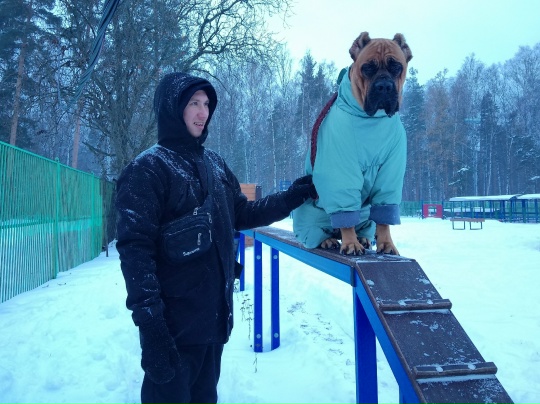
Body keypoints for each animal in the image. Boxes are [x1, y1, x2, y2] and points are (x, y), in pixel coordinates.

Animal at [293, 32, 412, 256]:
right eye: (368, 68)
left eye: (396, 67)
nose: (384, 86)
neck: (372, 121)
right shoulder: (339, 171)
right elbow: (345, 213)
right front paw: (350, 243)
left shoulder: (390, 171)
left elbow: (384, 217)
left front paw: (386, 243)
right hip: (309, 211)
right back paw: (328, 240)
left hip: (366, 213)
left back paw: (364, 238)